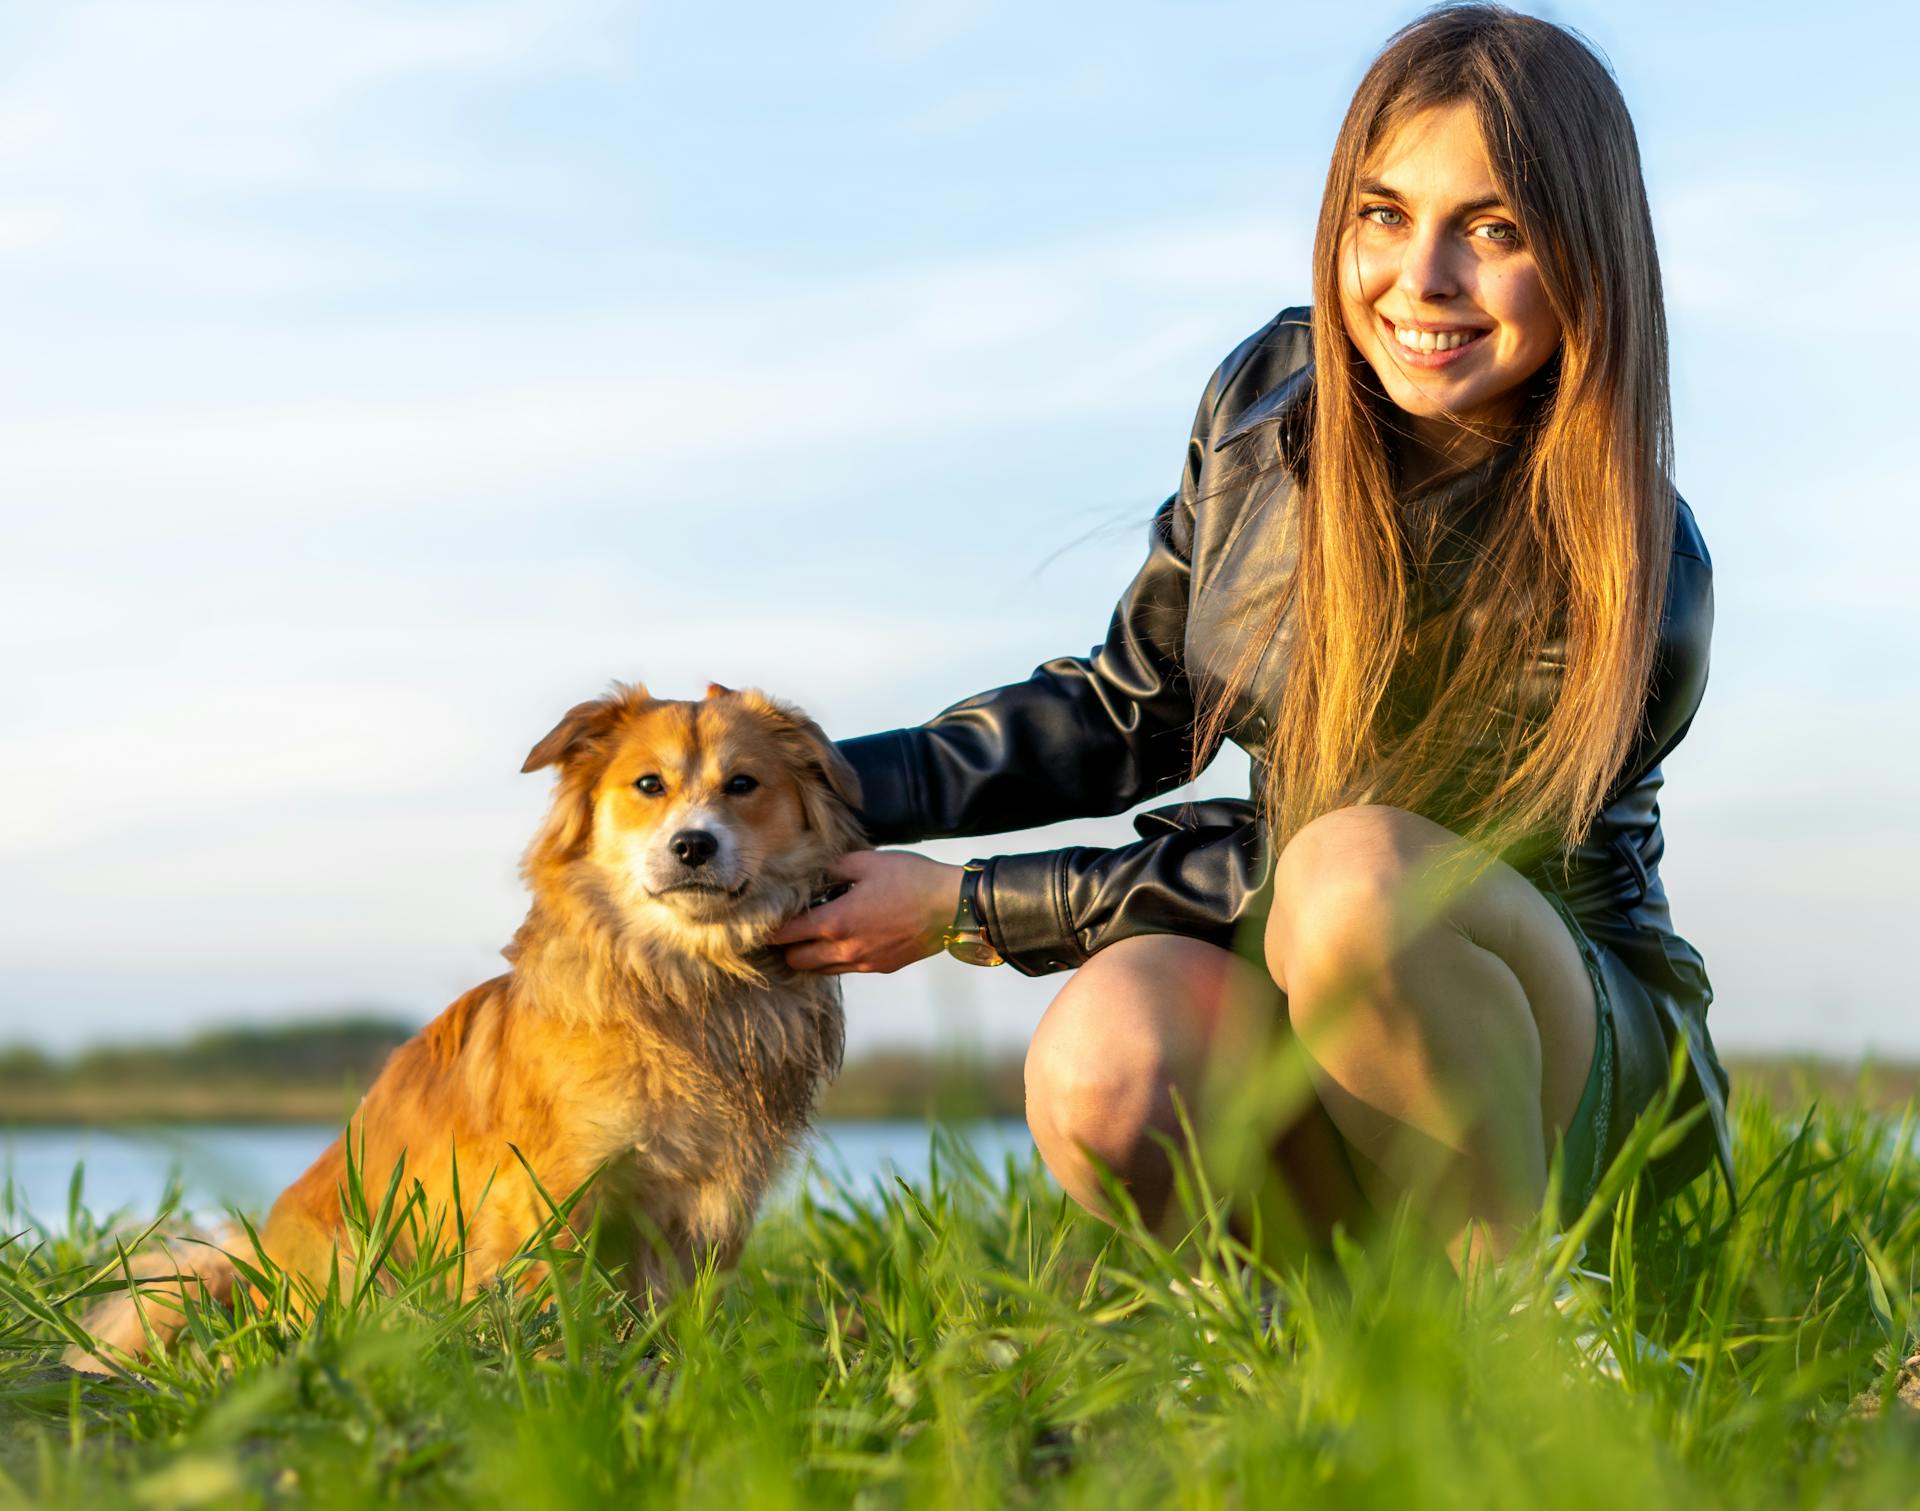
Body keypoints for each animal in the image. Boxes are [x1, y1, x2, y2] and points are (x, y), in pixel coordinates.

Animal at [65, 683, 864, 1374]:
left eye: (743, 785)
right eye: (648, 785)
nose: (694, 845)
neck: (685, 981)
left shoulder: (713, 1199)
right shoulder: (549, 1189)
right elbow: (551, 1293)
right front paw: (563, 1368)